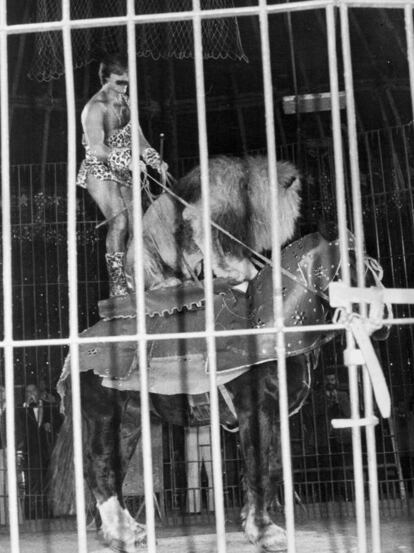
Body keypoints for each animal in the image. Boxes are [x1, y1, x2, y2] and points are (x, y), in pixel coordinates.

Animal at [123, 154, 300, 288]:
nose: (294, 218)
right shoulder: (201, 216)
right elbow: (220, 253)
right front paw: (231, 272)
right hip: (144, 250)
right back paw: (170, 282)